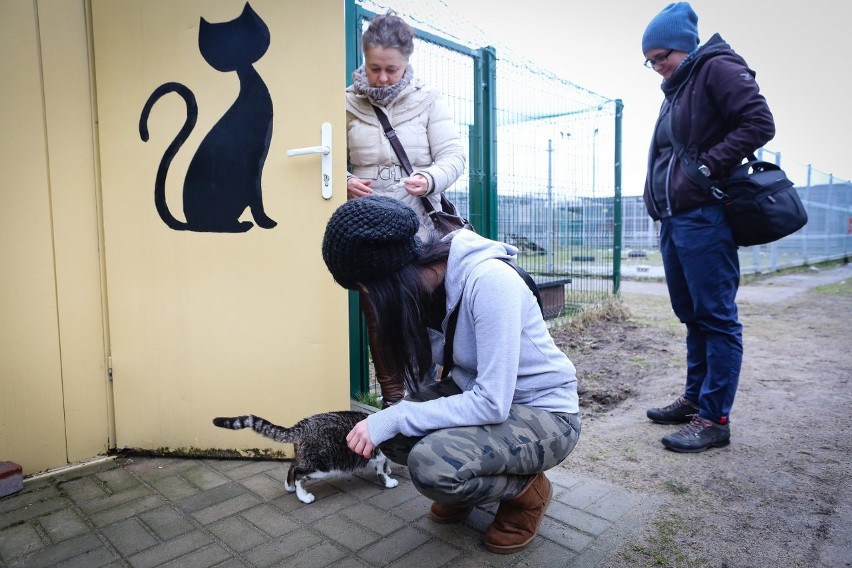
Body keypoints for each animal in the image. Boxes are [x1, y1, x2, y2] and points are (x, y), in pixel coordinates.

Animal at [213, 410, 400, 504]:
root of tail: (302, 426)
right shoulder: (378, 453)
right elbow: (381, 469)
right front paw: (388, 480)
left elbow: (386, 464)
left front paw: (389, 469)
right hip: (322, 465)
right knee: (298, 472)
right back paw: (303, 496)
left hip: (307, 457)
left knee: (293, 465)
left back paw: (289, 487)